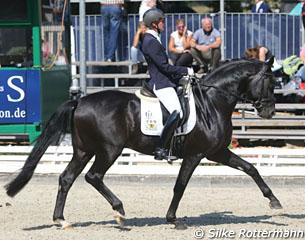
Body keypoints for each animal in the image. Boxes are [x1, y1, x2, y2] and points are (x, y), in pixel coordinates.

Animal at [5, 57, 280, 230]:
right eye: (270, 81)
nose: (270, 112)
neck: (212, 102)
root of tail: (80, 100)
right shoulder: (196, 154)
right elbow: (180, 186)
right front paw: (173, 219)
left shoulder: (218, 152)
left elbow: (251, 168)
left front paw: (274, 202)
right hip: (109, 150)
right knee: (93, 177)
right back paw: (119, 211)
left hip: (84, 150)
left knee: (67, 178)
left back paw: (61, 220)